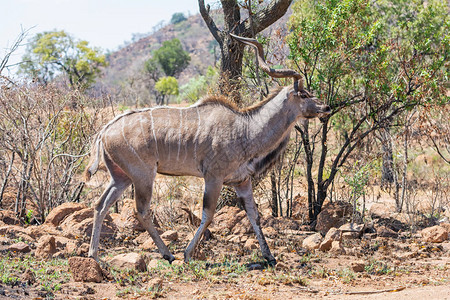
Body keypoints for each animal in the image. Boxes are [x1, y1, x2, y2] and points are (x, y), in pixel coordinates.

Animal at [84, 34, 330, 264]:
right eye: (304, 94)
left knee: (100, 205)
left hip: (121, 177)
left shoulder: (242, 181)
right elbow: (208, 214)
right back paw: (167, 254)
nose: (326, 107)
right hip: (143, 175)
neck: (245, 128)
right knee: (141, 210)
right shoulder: (213, 177)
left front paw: (269, 256)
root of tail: (104, 132)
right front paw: (187, 253)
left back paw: (94, 255)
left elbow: (254, 215)